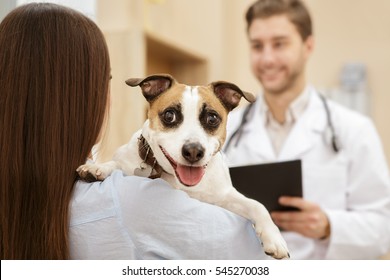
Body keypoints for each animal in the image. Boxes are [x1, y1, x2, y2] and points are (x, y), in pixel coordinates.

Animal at [77, 73, 290, 260]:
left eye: (212, 118)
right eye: (169, 115)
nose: (194, 151)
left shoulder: (225, 197)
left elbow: (256, 205)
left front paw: (274, 238)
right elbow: (118, 164)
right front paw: (97, 168)